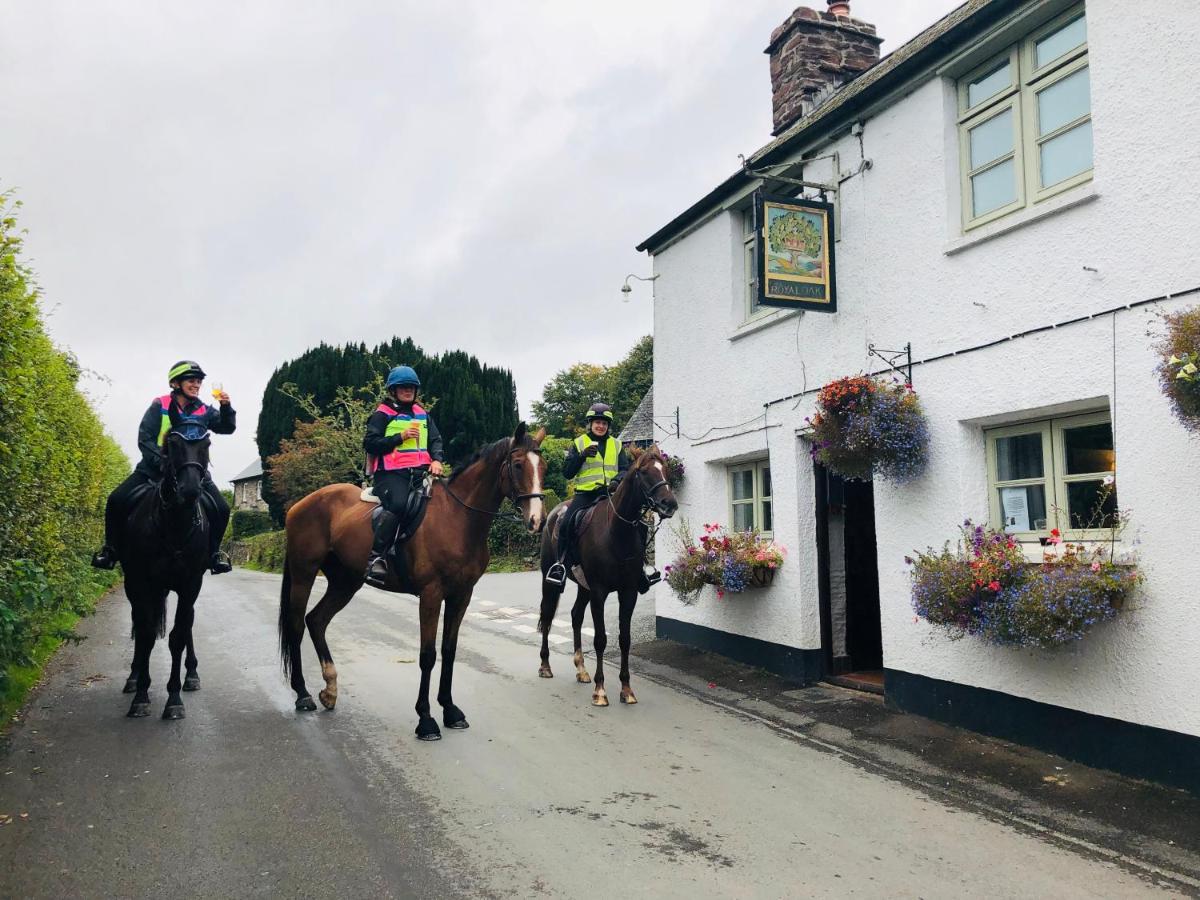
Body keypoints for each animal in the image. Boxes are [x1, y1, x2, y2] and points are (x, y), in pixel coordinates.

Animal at [120, 415, 213, 720]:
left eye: (207, 444)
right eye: (172, 443)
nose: (190, 490)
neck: (175, 524)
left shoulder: (190, 584)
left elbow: (177, 637)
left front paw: (174, 699)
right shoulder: (141, 583)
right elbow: (147, 634)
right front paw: (141, 696)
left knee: (187, 624)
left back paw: (192, 675)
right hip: (136, 587)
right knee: (140, 625)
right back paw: (134, 677)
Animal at [278, 427, 547, 744]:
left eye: (543, 467)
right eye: (517, 465)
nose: (537, 520)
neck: (458, 518)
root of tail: (300, 505)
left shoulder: (461, 596)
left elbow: (449, 650)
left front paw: (450, 710)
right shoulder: (431, 595)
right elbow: (427, 655)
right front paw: (426, 719)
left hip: (346, 582)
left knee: (316, 621)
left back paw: (330, 690)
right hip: (304, 573)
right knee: (297, 625)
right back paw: (303, 694)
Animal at [540, 448, 681, 710]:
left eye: (665, 470)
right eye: (644, 472)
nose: (669, 504)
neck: (616, 533)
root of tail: (555, 512)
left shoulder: (628, 592)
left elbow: (624, 639)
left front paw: (626, 689)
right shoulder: (599, 592)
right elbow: (600, 639)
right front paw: (600, 690)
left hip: (583, 587)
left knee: (575, 616)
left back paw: (581, 669)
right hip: (549, 580)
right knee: (546, 616)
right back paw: (545, 666)